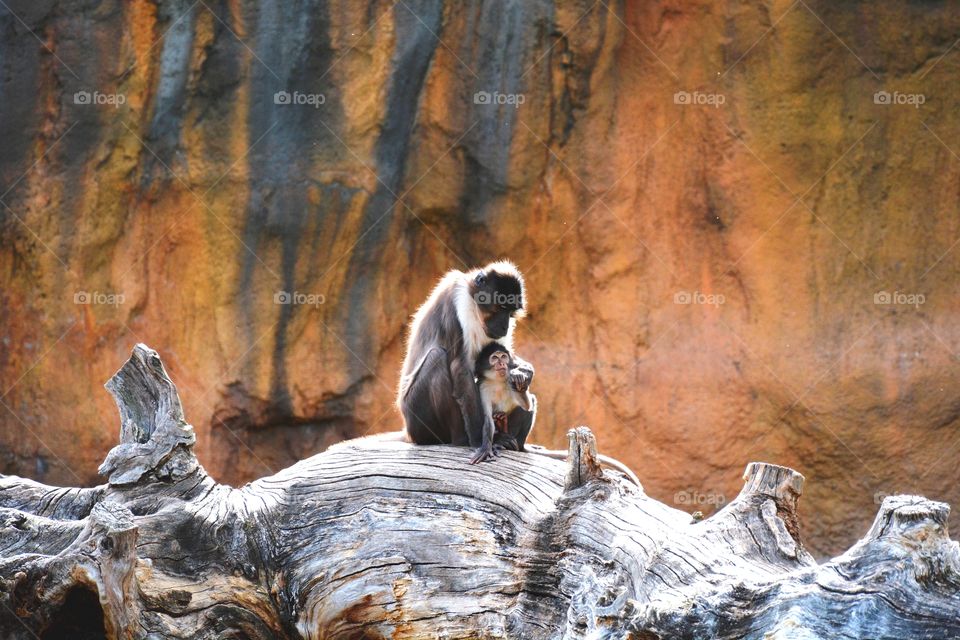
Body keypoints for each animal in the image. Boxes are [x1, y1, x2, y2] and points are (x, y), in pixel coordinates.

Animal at [397, 261, 532, 464]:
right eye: (500, 307)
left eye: (510, 312)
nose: (504, 326)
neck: (475, 308)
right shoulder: (457, 299)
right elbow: (460, 367)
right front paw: (478, 441)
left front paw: (524, 370)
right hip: (417, 420)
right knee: (437, 357)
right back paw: (463, 439)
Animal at [474, 343, 642, 487]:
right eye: (494, 358)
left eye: (503, 357)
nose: (502, 364)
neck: (498, 381)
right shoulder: (482, 387)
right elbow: (487, 419)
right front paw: (486, 448)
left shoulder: (508, 380)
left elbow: (527, 405)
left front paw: (521, 379)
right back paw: (500, 432)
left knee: (529, 405)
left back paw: (511, 440)